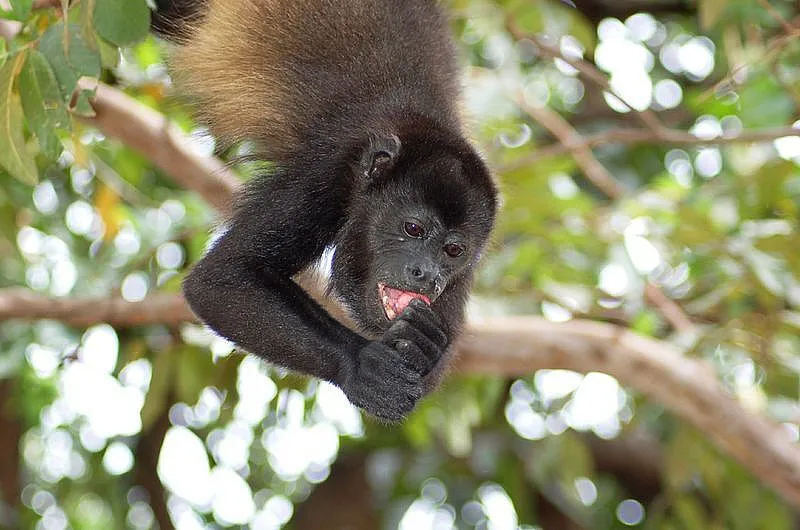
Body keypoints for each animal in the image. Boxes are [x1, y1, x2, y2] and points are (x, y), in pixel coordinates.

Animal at [152, 0, 499, 421]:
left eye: (453, 250)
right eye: (413, 228)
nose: (428, 275)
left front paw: (428, 344)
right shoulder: (327, 175)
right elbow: (220, 280)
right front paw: (361, 364)